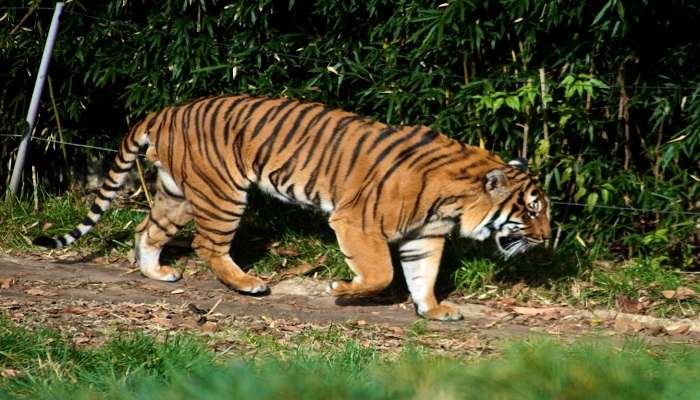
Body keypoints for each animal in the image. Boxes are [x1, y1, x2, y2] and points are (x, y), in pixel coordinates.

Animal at [34, 94, 552, 322]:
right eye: (530, 210)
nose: (549, 238)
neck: (455, 201)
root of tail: (166, 110)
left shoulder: (425, 236)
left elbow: (422, 274)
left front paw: (433, 310)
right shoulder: (356, 220)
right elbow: (381, 272)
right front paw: (341, 288)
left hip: (178, 193)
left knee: (147, 229)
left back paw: (157, 273)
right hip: (223, 193)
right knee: (207, 243)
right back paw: (249, 284)